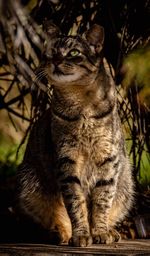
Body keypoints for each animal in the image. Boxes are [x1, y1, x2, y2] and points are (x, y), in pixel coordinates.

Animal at [17, 23, 134, 246]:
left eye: (73, 53)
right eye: (51, 52)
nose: (55, 60)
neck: (83, 105)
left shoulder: (108, 158)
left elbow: (102, 201)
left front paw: (100, 232)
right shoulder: (67, 160)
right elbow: (76, 203)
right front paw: (81, 235)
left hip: (126, 183)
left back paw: (112, 231)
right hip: (30, 185)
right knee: (56, 216)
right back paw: (61, 234)